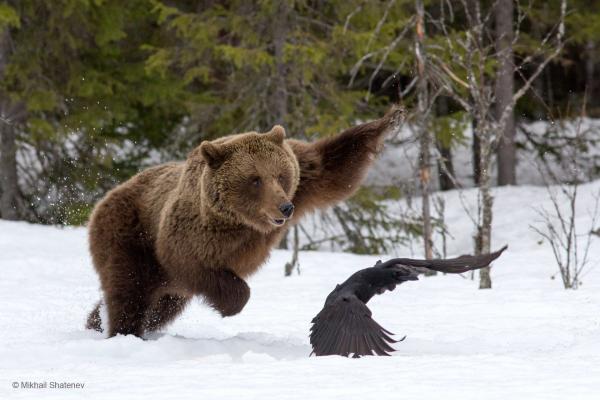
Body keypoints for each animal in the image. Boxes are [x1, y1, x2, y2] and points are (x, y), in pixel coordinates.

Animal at [85, 107, 404, 338]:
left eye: (280, 175)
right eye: (254, 179)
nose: (285, 207)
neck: (245, 222)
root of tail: (107, 197)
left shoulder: (303, 180)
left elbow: (331, 166)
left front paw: (391, 119)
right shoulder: (193, 231)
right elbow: (188, 260)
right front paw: (231, 304)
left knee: (159, 306)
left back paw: (95, 320)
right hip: (129, 236)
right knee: (129, 293)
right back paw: (122, 331)